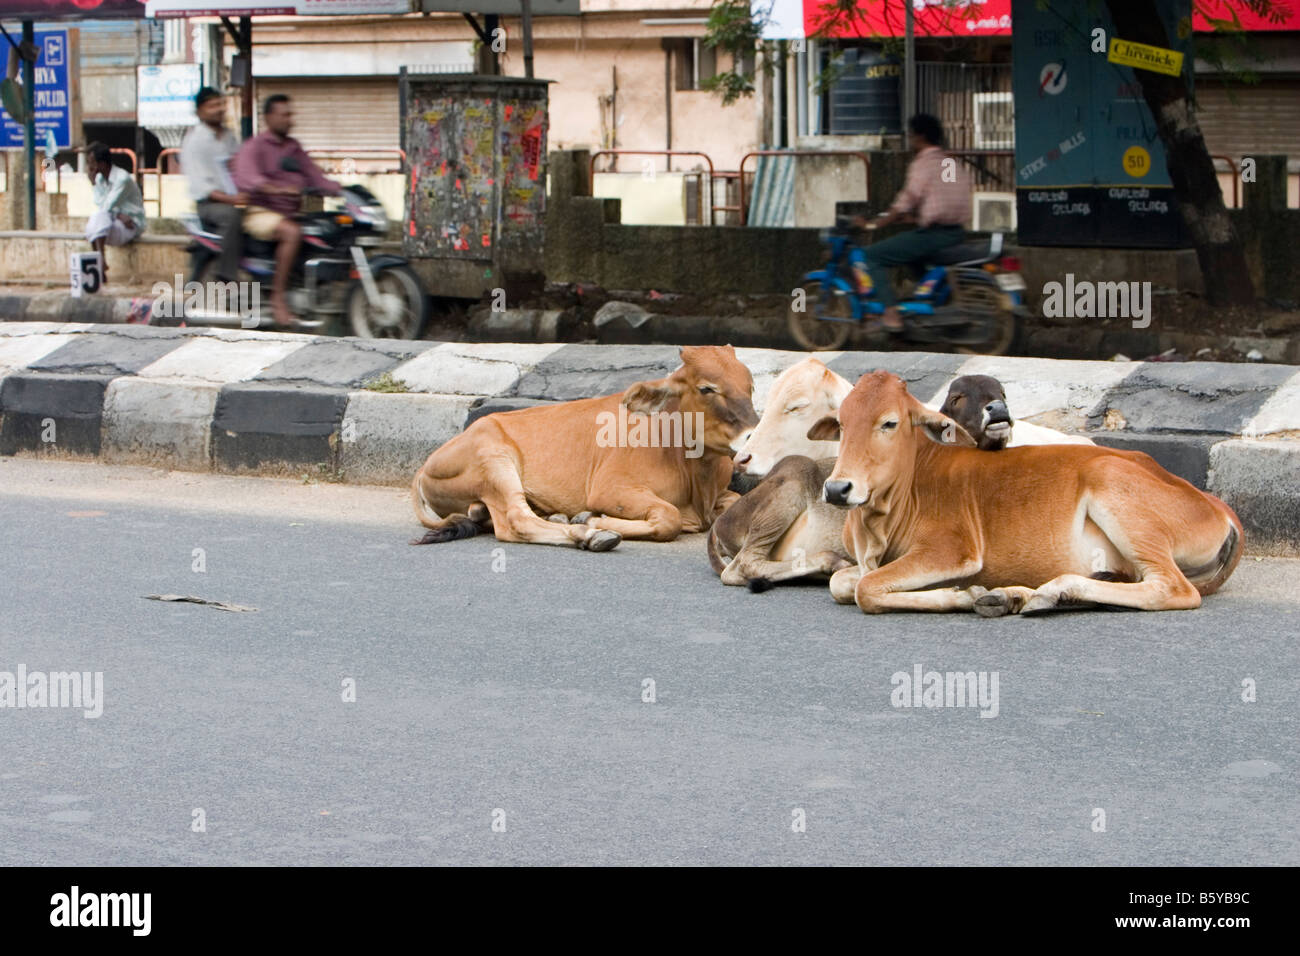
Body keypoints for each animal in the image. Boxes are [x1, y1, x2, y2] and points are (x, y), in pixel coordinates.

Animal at [410, 345, 759, 554]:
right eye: (706, 388)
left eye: (750, 386)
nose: (753, 435)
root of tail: (425, 466)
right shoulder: (610, 487)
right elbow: (668, 518)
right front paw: (594, 522)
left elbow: (733, 502)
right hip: (494, 461)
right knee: (515, 520)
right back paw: (587, 534)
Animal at [816, 369, 1242, 616]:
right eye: (842, 423)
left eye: (889, 422)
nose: (838, 488)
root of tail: (1221, 508)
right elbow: (842, 584)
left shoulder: (952, 550)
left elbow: (866, 590)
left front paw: (961, 595)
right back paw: (1017, 596)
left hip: (1115, 490)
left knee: (1171, 588)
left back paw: (1048, 591)